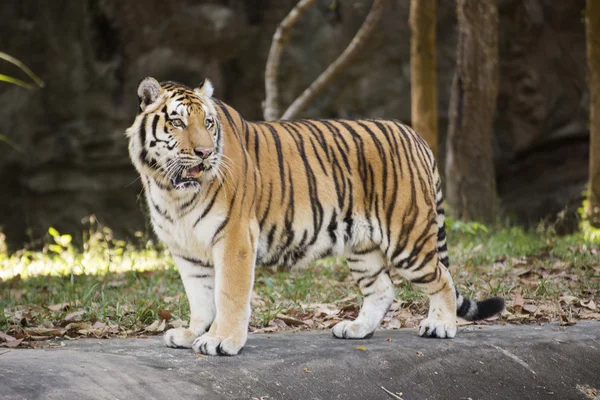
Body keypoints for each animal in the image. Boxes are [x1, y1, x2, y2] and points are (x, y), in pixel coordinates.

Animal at [126, 76, 506, 354]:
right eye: (177, 122)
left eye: (207, 123)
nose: (204, 153)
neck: (172, 191)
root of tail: (416, 136)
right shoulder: (186, 250)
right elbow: (201, 298)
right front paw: (192, 334)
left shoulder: (234, 239)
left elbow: (228, 295)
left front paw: (221, 341)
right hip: (362, 245)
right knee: (382, 289)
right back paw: (356, 329)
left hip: (408, 238)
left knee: (442, 277)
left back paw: (441, 326)